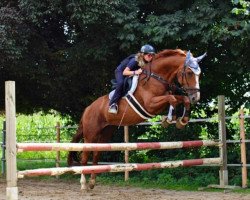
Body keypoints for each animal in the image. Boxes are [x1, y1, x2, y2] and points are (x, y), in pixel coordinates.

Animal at [67, 48, 206, 189]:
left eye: (199, 74)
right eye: (189, 73)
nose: (196, 98)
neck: (156, 78)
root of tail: (87, 109)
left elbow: (182, 99)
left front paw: (181, 121)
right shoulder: (150, 105)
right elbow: (172, 99)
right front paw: (168, 119)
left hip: (105, 133)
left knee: (96, 154)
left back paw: (92, 182)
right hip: (90, 134)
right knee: (85, 156)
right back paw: (83, 184)